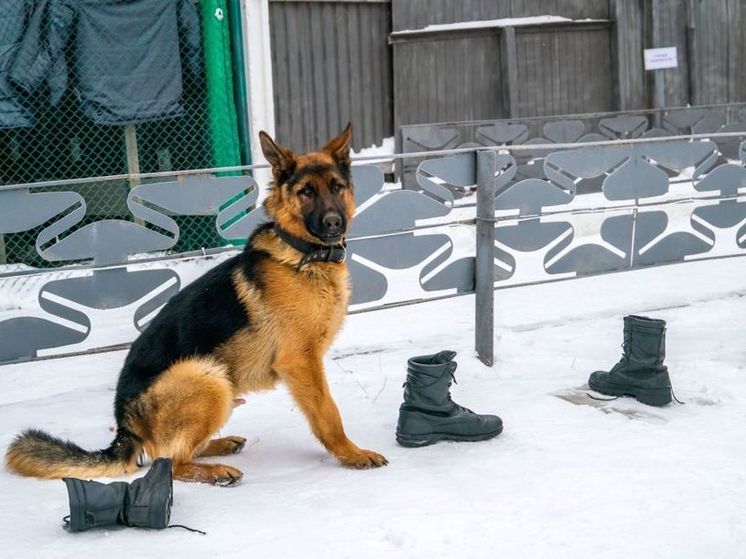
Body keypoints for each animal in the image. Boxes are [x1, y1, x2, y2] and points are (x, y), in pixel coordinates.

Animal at [5, 126, 386, 486]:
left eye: (337, 187)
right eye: (306, 191)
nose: (334, 224)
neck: (303, 256)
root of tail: (124, 425)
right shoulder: (301, 363)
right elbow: (328, 414)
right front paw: (352, 454)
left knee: (179, 450)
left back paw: (220, 445)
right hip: (208, 375)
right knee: (169, 462)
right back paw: (217, 472)